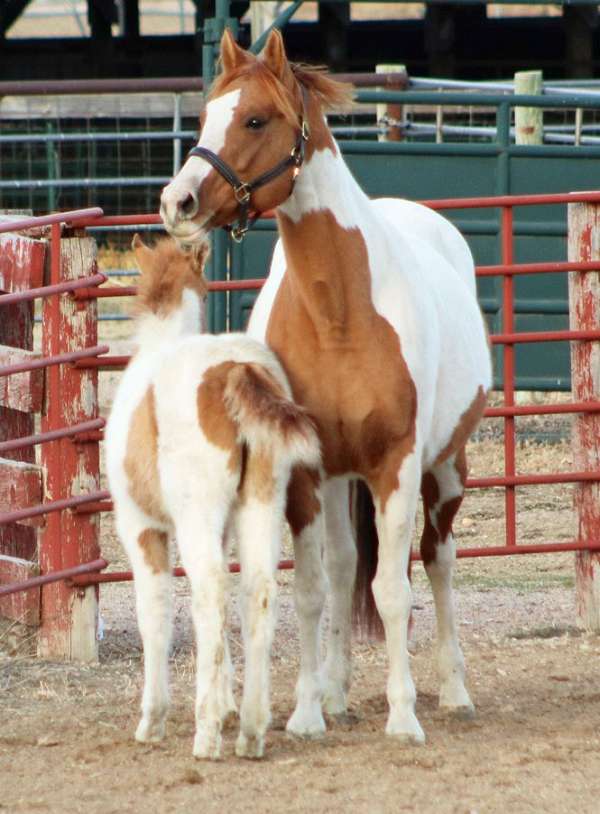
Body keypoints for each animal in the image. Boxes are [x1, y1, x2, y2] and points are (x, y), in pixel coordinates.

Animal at [104, 236, 318, 760]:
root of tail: (236, 369)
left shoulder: (140, 527)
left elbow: (155, 612)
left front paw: (153, 720)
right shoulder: (222, 528)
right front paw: (225, 705)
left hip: (197, 517)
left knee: (210, 594)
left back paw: (205, 737)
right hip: (260, 505)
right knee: (256, 592)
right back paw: (250, 731)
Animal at [161, 31, 492, 744]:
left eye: (256, 120)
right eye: (205, 116)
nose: (178, 203)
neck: (341, 311)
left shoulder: (396, 464)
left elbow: (394, 591)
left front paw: (404, 716)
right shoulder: (307, 470)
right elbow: (316, 588)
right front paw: (308, 711)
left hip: (446, 469)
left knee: (438, 561)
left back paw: (454, 690)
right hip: (343, 478)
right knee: (343, 570)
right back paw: (337, 694)